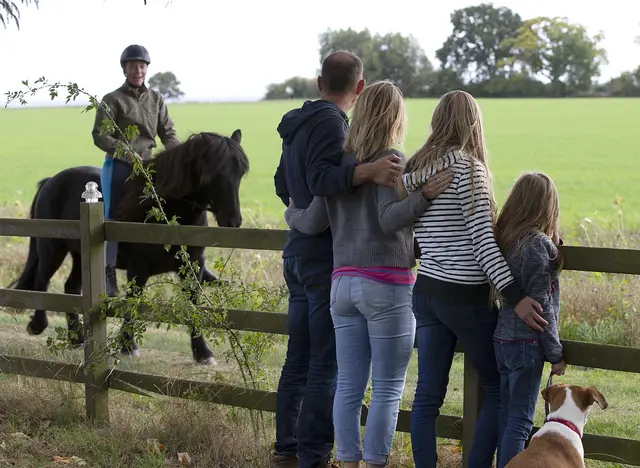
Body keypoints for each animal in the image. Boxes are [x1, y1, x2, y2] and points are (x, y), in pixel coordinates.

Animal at [11, 131, 250, 366]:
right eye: (214, 174)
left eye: (240, 174)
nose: (233, 221)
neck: (165, 211)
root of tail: (50, 181)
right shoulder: (138, 270)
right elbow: (132, 303)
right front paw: (128, 346)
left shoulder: (192, 268)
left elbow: (193, 307)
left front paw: (203, 353)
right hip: (52, 249)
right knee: (42, 281)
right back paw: (38, 325)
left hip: (81, 256)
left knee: (70, 287)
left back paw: (76, 339)